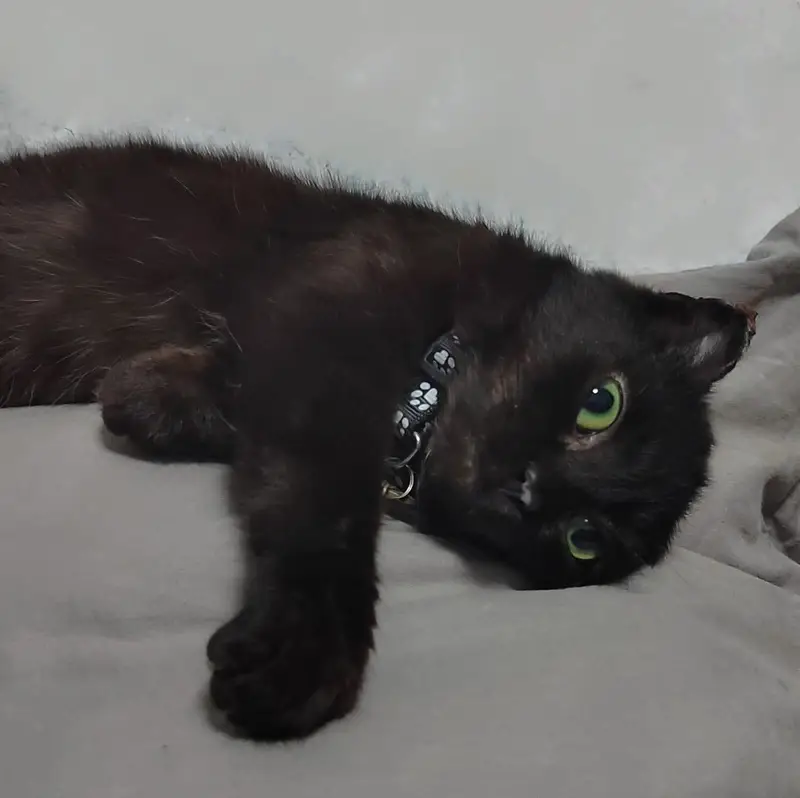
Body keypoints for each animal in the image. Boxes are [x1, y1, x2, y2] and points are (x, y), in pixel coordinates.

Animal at [0, 137, 754, 741]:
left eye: (585, 540)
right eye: (602, 403)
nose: (529, 490)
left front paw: (150, 400)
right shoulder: (327, 338)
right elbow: (321, 498)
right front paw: (308, 648)